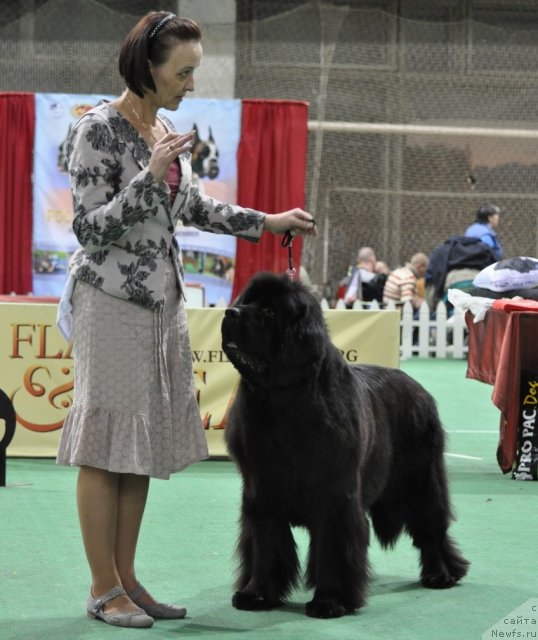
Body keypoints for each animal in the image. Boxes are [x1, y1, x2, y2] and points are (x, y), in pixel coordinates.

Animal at [220, 272, 466, 616]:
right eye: (246, 302)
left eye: (269, 311)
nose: (230, 312)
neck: (282, 402)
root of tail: (420, 390)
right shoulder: (261, 492)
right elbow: (265, 545)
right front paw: (257, 594)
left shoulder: (335, 495)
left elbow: (332, 548)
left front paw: (330, 600)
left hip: (421, 483)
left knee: (432, 530)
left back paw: (440, 574)